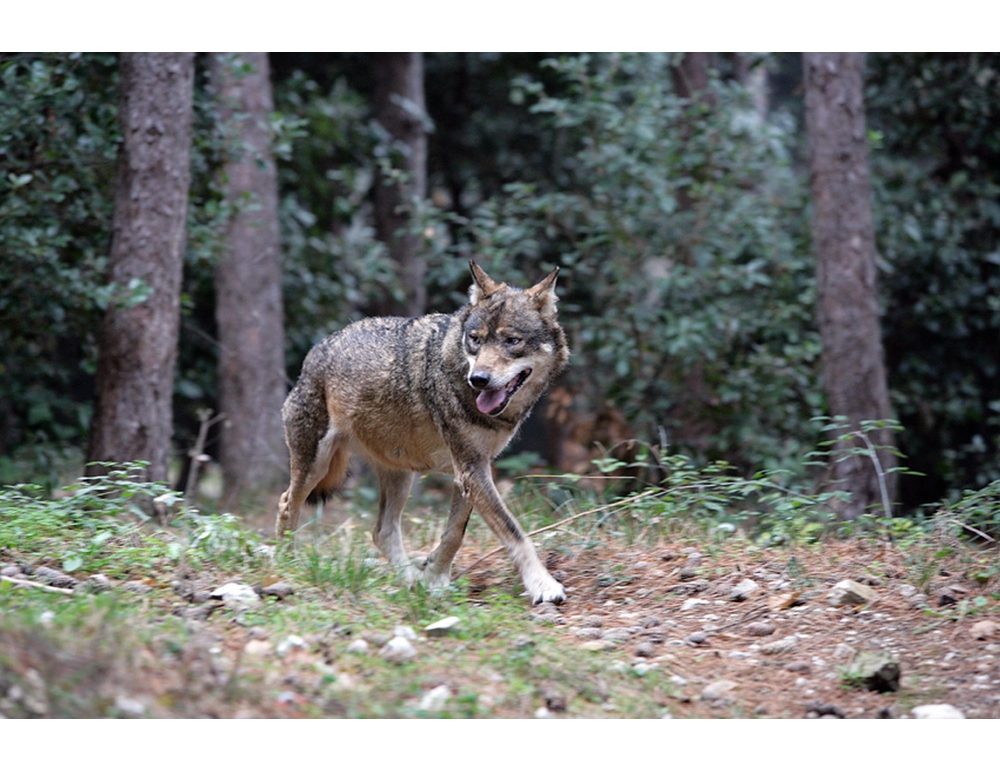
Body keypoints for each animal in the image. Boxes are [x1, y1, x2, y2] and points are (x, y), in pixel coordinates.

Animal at [275, 261, 570, 604]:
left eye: (512, 341)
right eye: (475, 340)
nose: (478, 379)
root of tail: (317, 350)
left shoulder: (470, 471)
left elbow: (454, 533)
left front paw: (433, 578)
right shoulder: (471, 470)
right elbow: (514, 531)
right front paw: (543, 585)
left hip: (401, 475)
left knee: (382, 531)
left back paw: (410, 581)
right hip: (316, 465)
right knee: (286, 504)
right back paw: (286, 564)